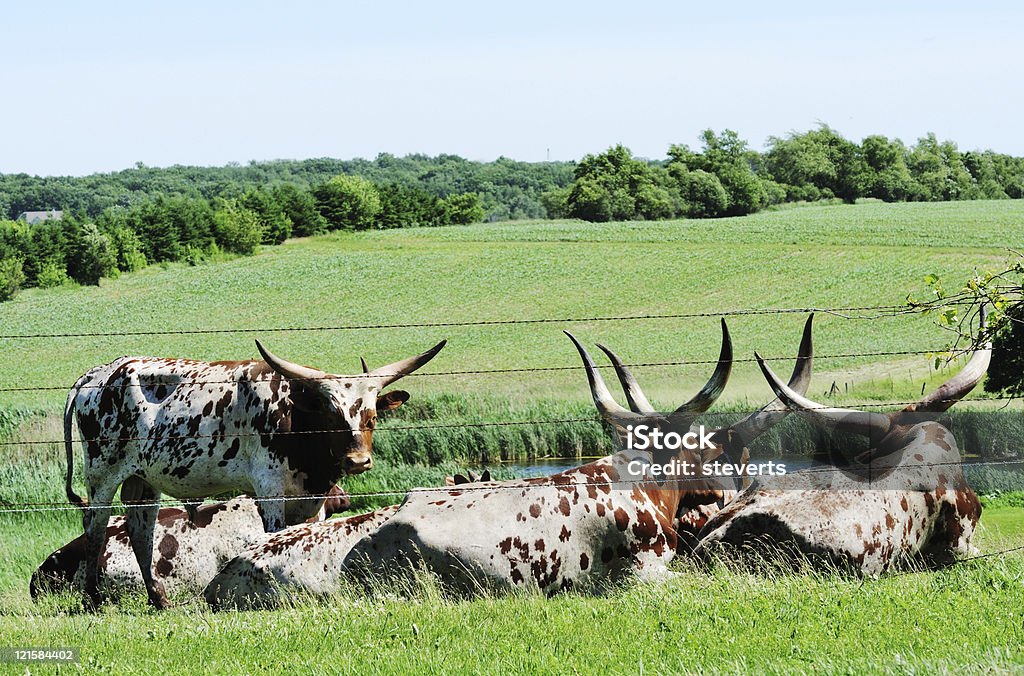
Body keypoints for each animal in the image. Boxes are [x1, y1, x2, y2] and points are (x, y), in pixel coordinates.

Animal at [64, 340, 444, 610]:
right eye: (331, 415)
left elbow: (301, 534)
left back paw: (159, 600)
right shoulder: (269, 487)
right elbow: (275, 534)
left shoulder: (308, 498)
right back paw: (93, 599)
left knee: (139, 530)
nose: (358, 460)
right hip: (102, 472)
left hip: (142, 479)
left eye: (372, 416)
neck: (297, 418)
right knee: (95, 527)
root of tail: (96, 375)